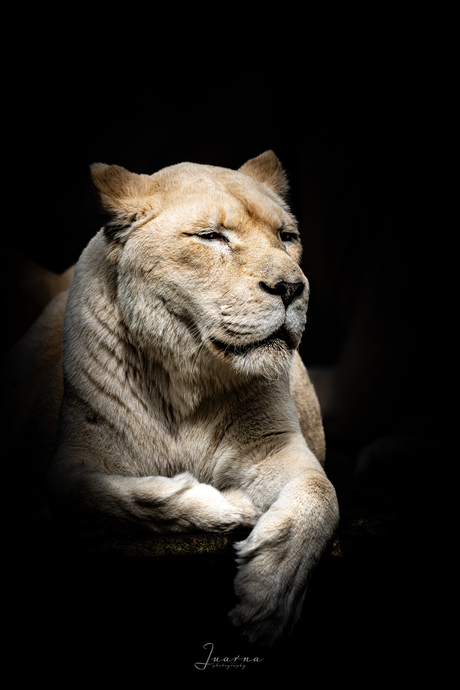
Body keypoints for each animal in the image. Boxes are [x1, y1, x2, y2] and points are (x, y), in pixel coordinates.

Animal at [6, 151, 339, 646]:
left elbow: (321, 494)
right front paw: (231, 506)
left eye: (287, 237)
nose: (290, 288)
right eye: (211, 236)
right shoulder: (74, 462)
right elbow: (100, 496)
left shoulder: (275, 448)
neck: (187, 380)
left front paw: (269, 597)